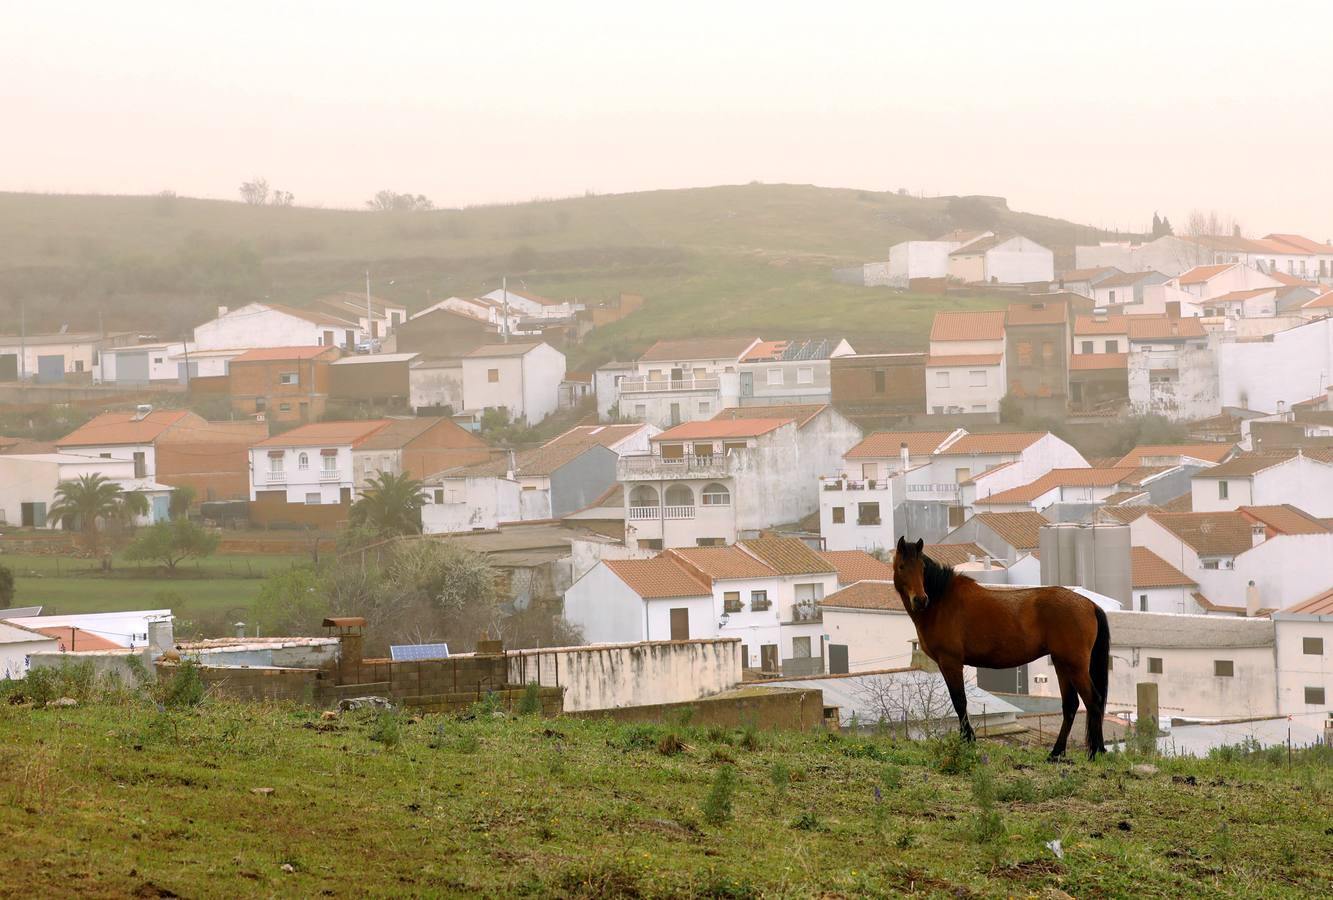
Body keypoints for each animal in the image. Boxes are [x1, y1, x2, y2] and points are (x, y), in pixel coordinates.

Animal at [901, 536, 1109, 762]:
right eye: (903, 566)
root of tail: (1090, 605)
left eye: (922, 568)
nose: (920, 600)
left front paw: (968, 741)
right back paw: (1056, 753)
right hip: (1062, 664)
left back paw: (1095, 752)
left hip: (1075, 666)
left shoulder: (950, 663)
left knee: (1093, 701)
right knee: (1071, 705)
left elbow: (959, 702)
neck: (942, 601)